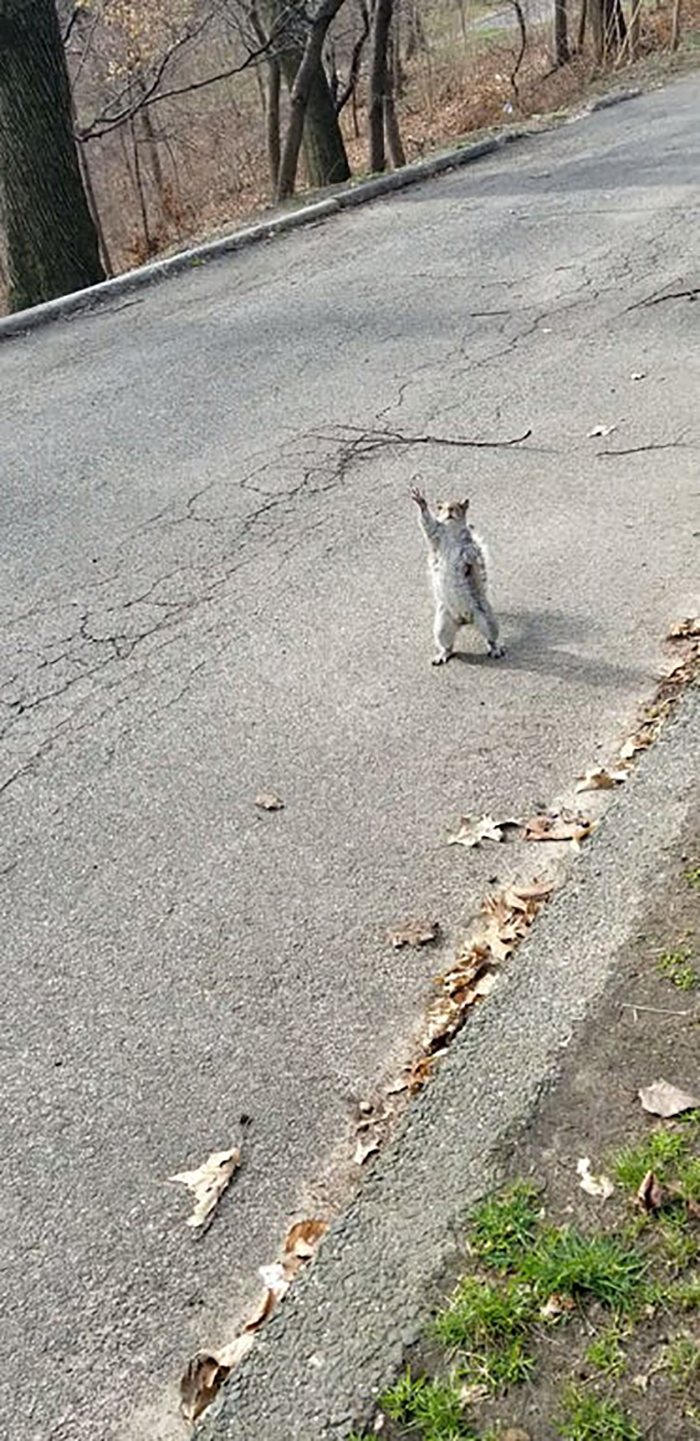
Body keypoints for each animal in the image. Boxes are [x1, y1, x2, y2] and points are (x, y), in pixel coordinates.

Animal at [409, 484, 504, 662]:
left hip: (485, 617)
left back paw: (496, 649)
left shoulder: (468, 545)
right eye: (440, 507)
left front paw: (469, 562)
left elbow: (472, 554)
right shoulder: (435, 535)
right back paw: (442, 655)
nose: (450, 510)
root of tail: (464, 619)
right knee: (448, 645)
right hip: (443, 623)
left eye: (461, 506)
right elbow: (427, 524)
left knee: (491, 637)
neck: (452, 533)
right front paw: (421, 501)